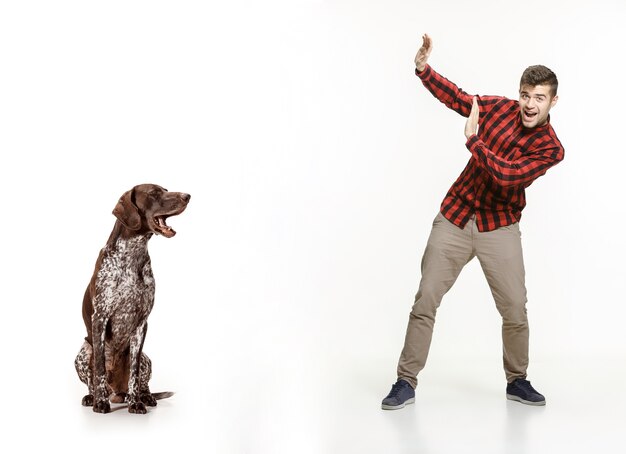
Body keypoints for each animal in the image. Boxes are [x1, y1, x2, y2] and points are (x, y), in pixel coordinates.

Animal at [74, 184, 189, 414]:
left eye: (166, 190)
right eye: (154, 193)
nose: (187, 196)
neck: (132, 254)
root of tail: (116, 392)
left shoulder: (141, 323)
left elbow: (134, 374)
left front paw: (136, 403)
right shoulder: (100, 318)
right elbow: (99, 368)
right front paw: (100, 402)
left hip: (147, 358)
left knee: (142, 382)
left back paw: (145, 397)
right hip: (82, 352)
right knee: (92, 379)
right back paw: (93, 397)